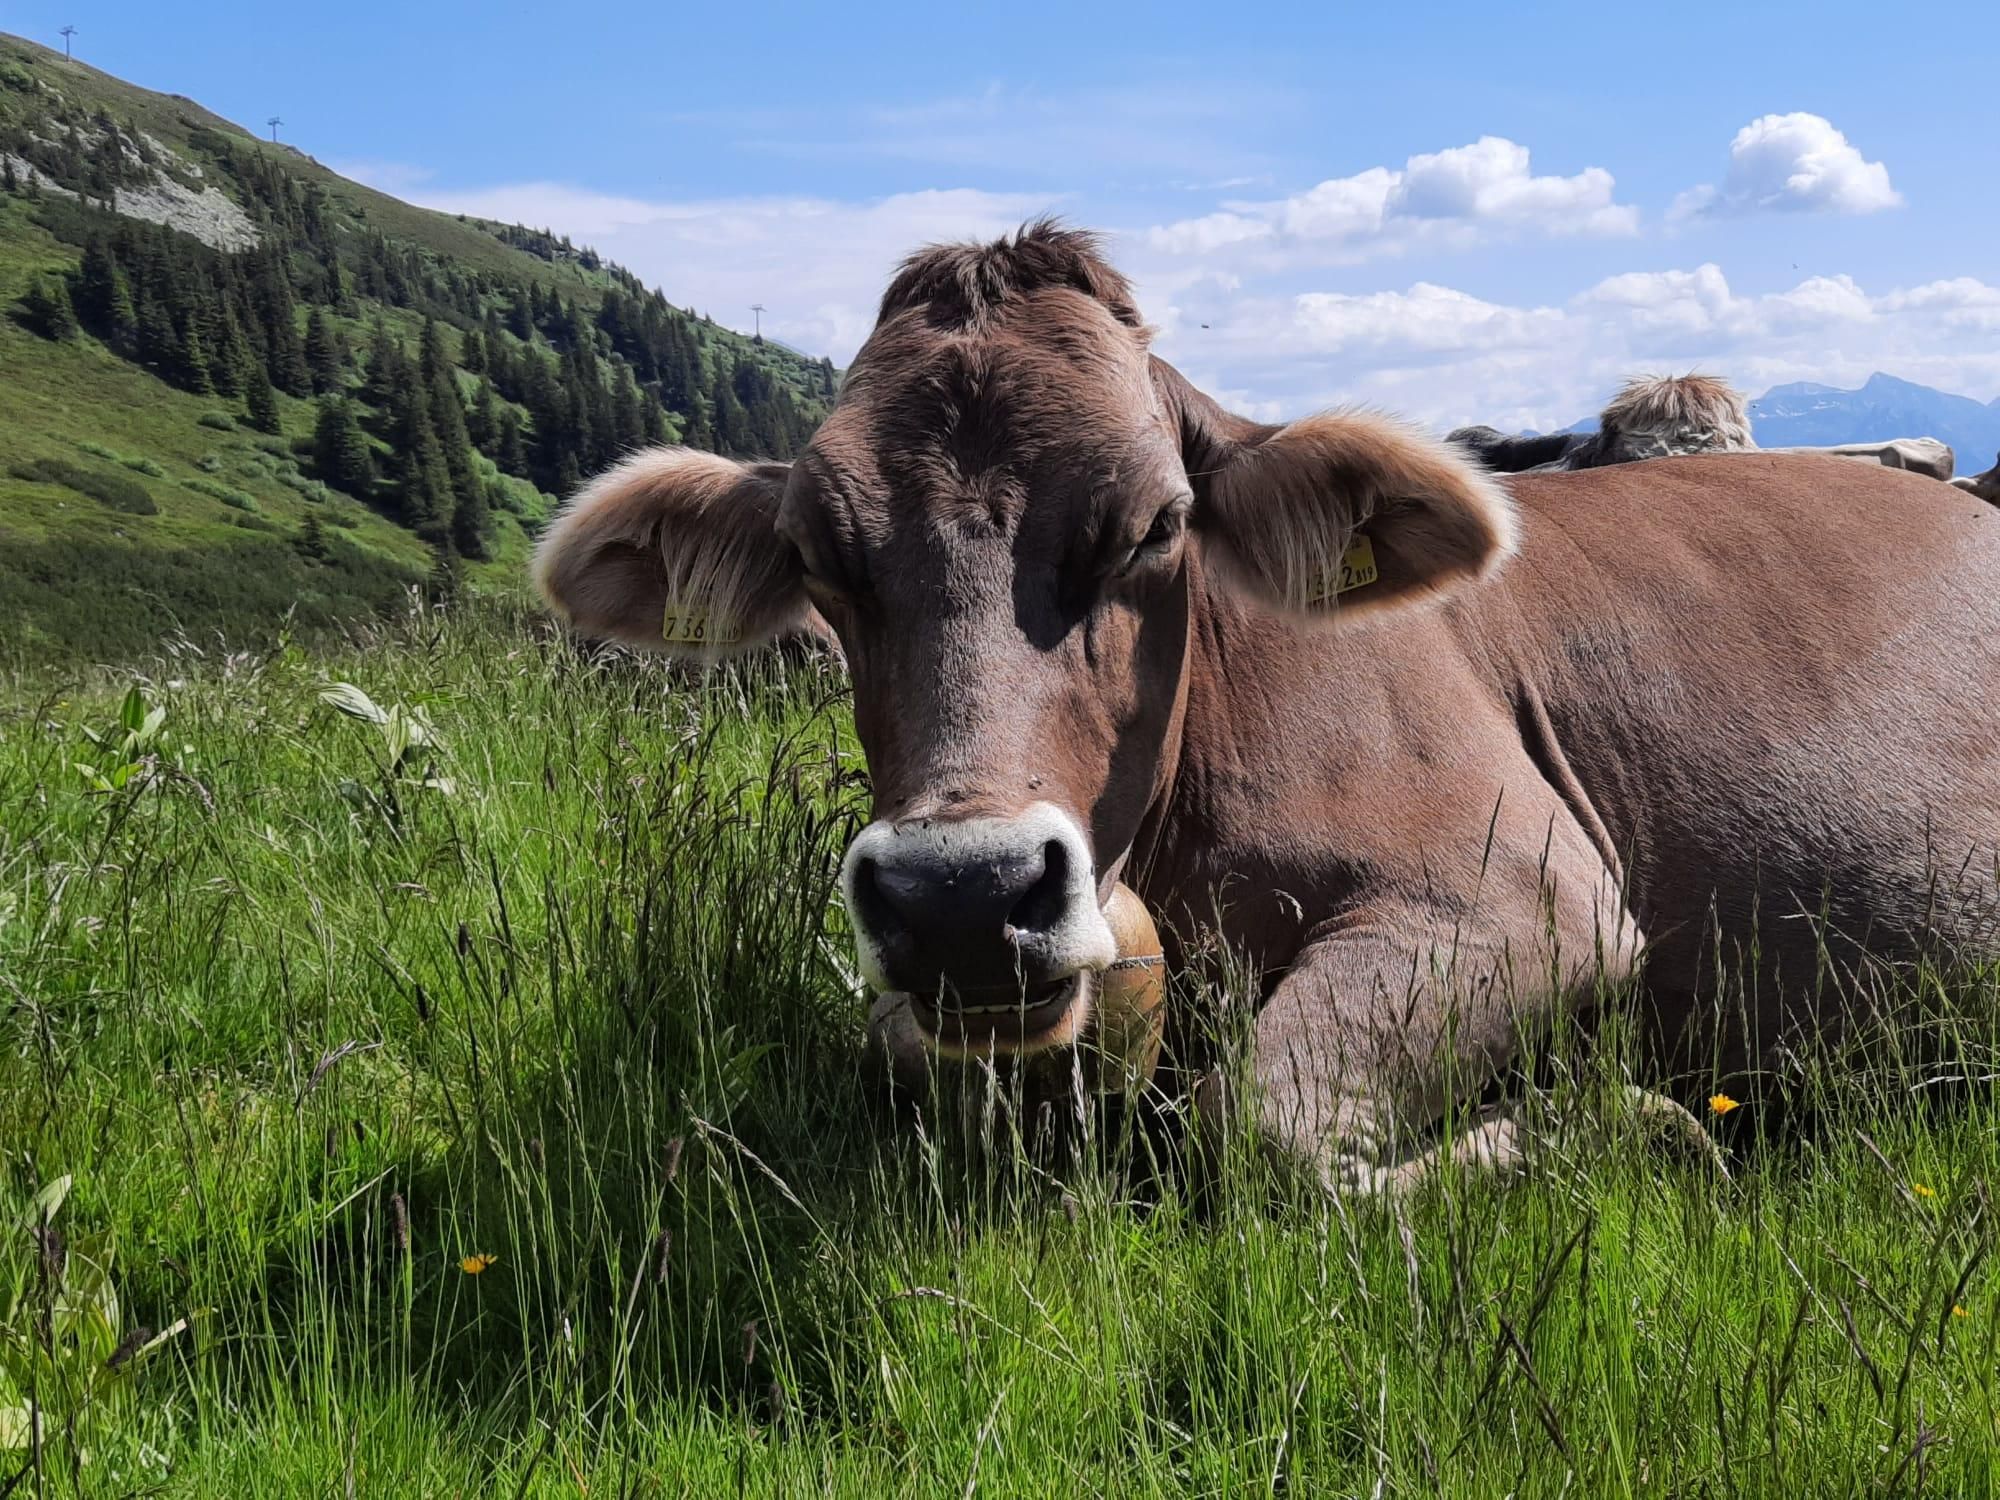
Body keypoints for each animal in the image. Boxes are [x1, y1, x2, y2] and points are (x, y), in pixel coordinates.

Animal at [534, 222, 2000, 1196]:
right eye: (821, 557)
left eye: (1155, 525)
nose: (960, 895)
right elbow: (909, 1049)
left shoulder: (1523, 894)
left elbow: (1260, 1131)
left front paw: (1621, 1122)